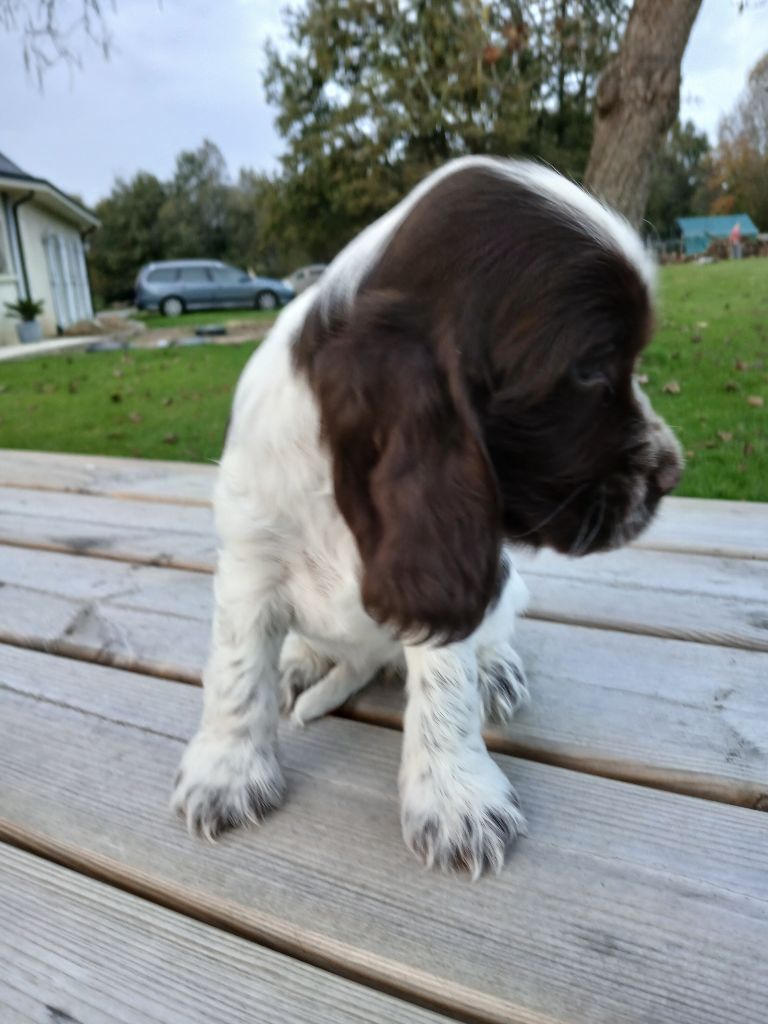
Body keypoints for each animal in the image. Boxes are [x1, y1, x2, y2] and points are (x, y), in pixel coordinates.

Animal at [172, 156, 683, 878]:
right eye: (588, 370)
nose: (672, 473)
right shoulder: (249, 556)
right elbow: (236, 668)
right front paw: (227, 770)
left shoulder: (451, 560)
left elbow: (446, 680)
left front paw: (456, 800)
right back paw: (301, 657)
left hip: (502, 580)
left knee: (493, 630)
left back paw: (495, 669)